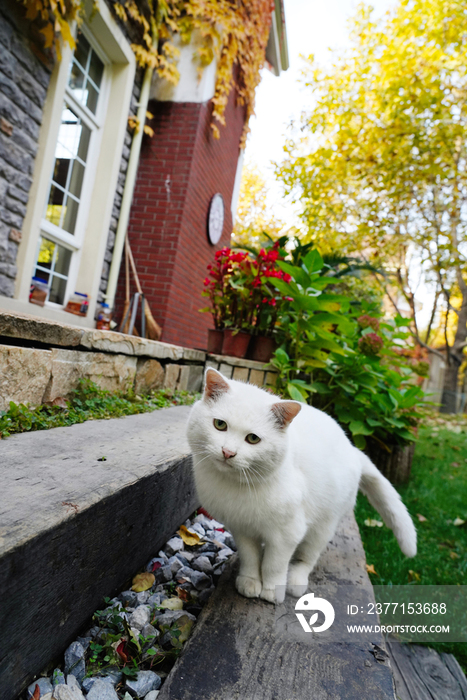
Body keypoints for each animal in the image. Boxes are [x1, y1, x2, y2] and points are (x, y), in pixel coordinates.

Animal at [186, 370, 416, 604]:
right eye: (220, 425)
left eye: (253, 438)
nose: (228, 452)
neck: (237, 485)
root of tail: (353, 449)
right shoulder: (241, 529)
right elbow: (250, 558)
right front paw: (250, 581)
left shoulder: (287, 533)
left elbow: (274, 565)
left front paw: (272, 590)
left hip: (323, 526)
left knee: (307, 557)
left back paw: (295, 580)